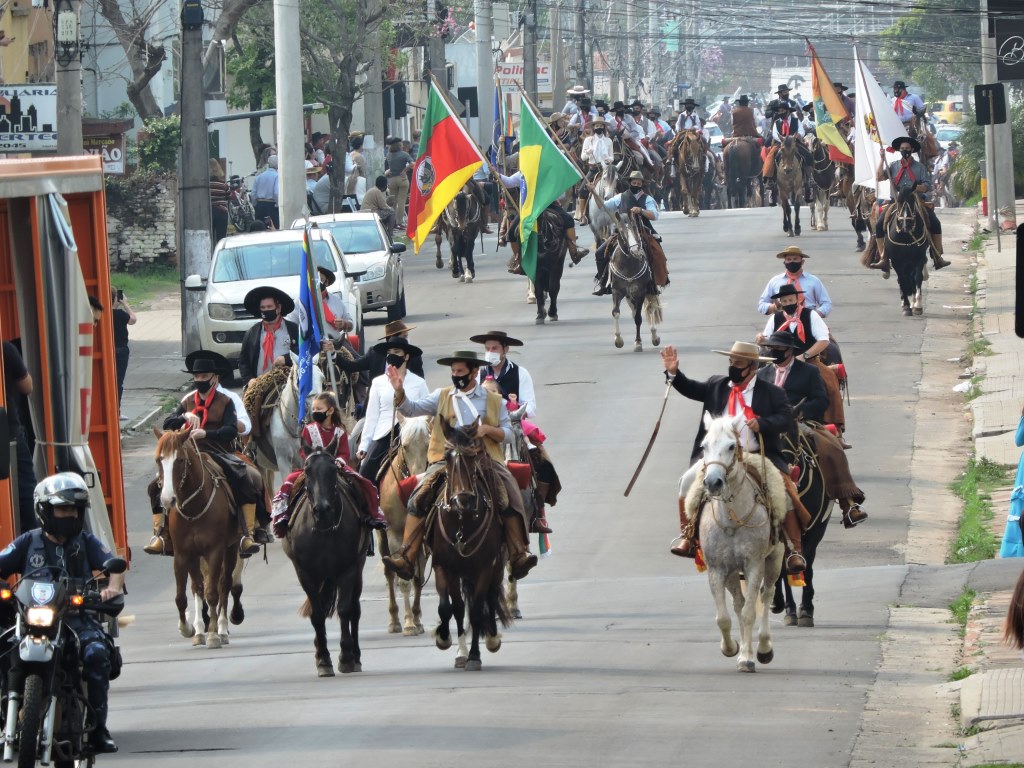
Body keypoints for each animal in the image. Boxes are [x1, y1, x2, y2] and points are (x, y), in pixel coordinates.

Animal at [154, 430, 242, 651]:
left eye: (180, 460)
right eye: (159, 460)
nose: (167, 500)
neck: (194, 508)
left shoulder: (215, 551)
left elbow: (212, 592)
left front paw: (212, 635)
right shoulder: (183, 554)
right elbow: (183, 595)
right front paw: (189, 629)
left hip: (231, 548)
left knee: (224, 584)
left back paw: (221, 629)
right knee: (198, 587)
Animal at [284, 442, 368, 675]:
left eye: (332, 469)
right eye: (307, 470)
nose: (322, 508)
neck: (323, 528)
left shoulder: (348, 569)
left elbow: (345, 610)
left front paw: (346, 657)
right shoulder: (305, 573)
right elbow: (317, 614)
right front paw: (323, 659)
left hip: (358, 568)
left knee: (355, 609)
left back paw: (356, 656)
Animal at [430, 417, 512, 671]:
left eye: (473, 456)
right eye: (447, 457)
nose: (463, 499)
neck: (461, 523)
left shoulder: (485, 567)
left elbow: (475, 611)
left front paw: (474, 655)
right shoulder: (444, 567)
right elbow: (450, 608)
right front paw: (447, 641)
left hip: (496, 566)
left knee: (492, 596)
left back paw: (493, 638)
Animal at [688, 415, 790, 671]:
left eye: (731, 446)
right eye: (704, 446)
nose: (712, 482)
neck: (732, 518)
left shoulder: (754, 565)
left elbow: (748, 613)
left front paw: (747, 658)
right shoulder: (717, 569)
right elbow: (724, 617)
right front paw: (731, 648)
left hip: (774, 560)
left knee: (766, 596)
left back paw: (762, 648)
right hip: (733, 572)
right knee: (738, 602)